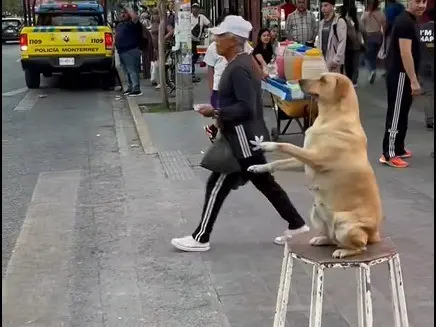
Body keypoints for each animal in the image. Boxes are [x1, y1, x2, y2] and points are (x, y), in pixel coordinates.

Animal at [247, 72, 384, 258]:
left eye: (323, 80)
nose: (298, 80)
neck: (331, 117)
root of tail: (375, 234)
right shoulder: (304, 161)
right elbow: (279, 162)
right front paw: (258, 167)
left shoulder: (315, 158)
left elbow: (287, 146)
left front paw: (268, 145)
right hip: (316, 212)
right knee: (331, 237)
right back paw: (321, 239)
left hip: (344, 222)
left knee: (360, 246)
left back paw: (343, 251)